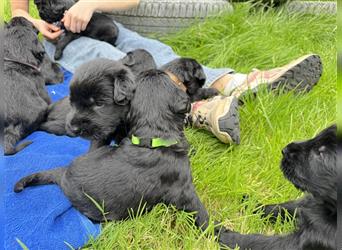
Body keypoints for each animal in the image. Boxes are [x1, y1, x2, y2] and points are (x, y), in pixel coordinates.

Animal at [15, 69, 208, 229]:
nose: (153, 69)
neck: (152, 137)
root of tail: (63, 172)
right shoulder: (184, 189)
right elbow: (201, 213)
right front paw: (214, 232)